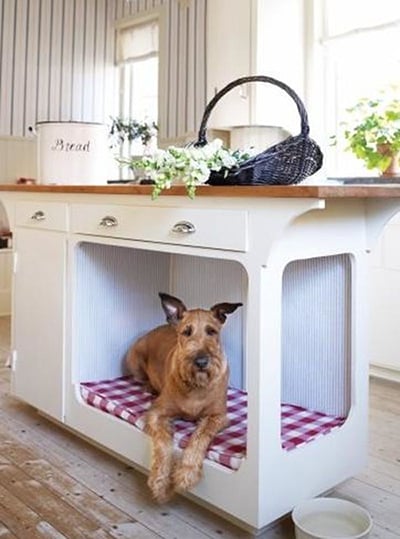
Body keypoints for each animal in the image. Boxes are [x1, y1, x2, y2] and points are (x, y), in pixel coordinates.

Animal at [126, 294, 242, 504]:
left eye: (212, 331)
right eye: (186, 332)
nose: (201, 361)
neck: (196, 386)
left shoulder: (218, 416)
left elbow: (200, 436)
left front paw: (186, 474)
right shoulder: (156, 413)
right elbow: (164, 443)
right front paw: (159, 481)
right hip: (133, 358)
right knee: (141, 378)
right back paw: (149, 386)